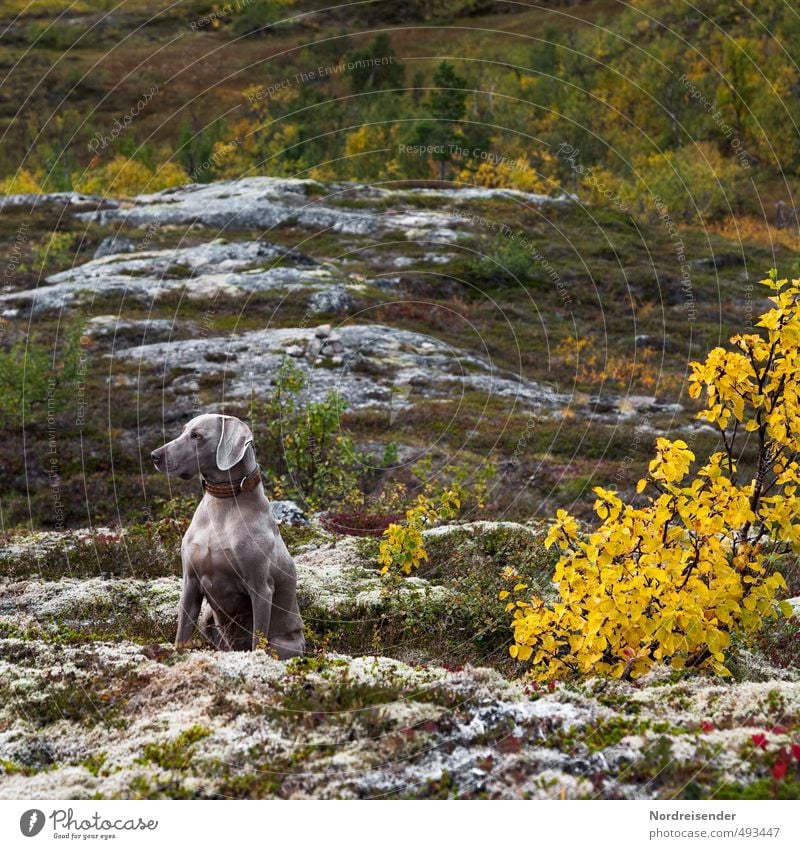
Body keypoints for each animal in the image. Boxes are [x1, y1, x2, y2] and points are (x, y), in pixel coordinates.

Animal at [149, 414, 304, 660]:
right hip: (207, 618)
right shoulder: (190, 583)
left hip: (284, 644)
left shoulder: (261, 589)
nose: (154, 455)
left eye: (197, 436)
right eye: (183, 430)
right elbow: (181, 635)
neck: (222, 504)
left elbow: (257, 640)